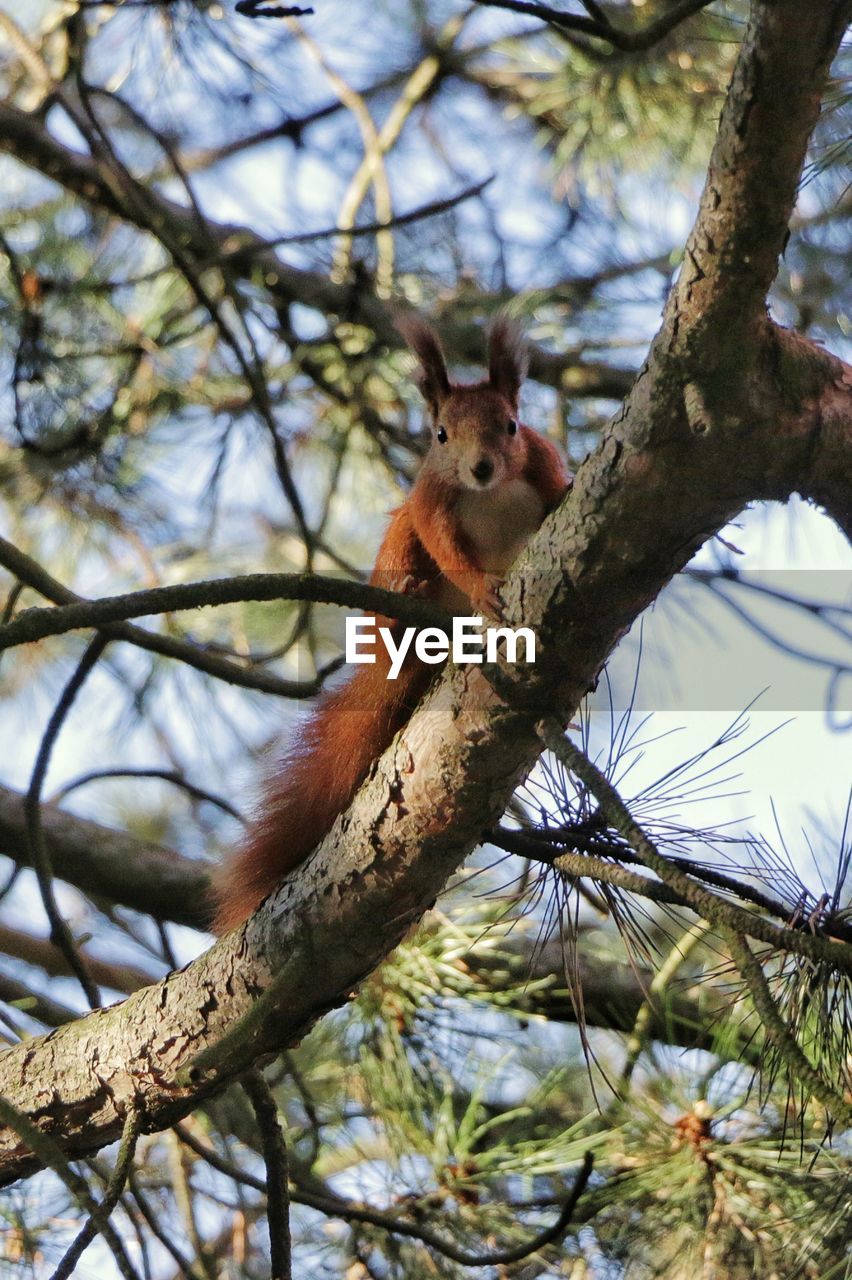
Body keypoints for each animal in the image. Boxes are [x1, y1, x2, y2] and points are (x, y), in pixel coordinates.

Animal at [212, 314, 570, 936]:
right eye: (440, 435)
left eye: (511, 425)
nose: (481, 468)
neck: (490, 493)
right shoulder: (429, 502)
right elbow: (445, 546)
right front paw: (483, 589)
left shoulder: (540, 465)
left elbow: (556, 489)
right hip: (397, 542)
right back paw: (405, 603)